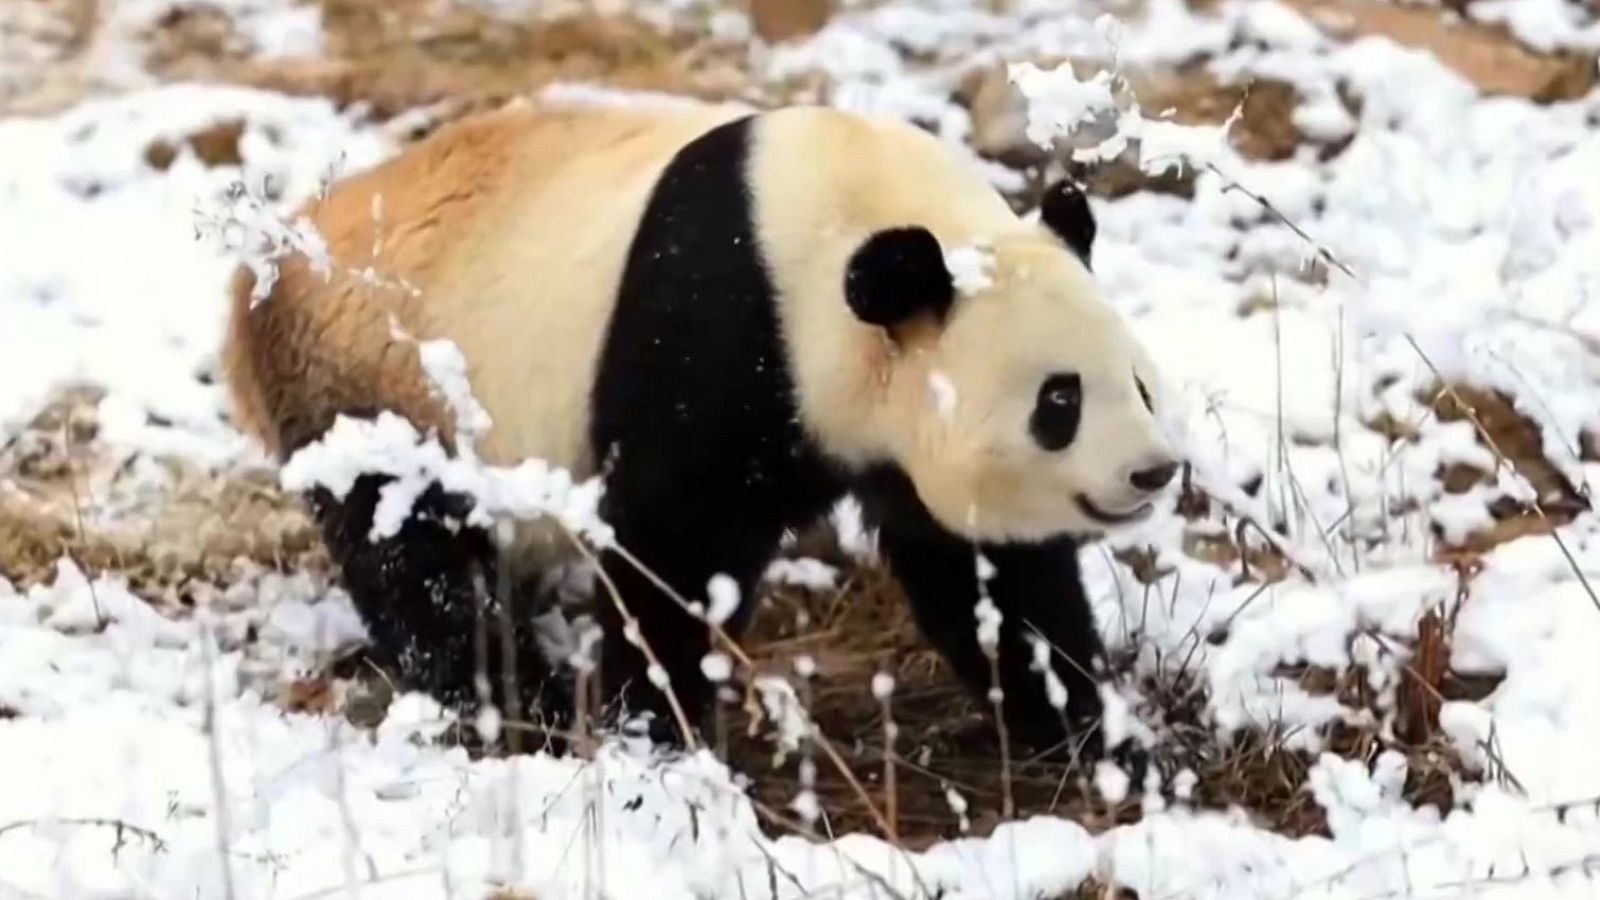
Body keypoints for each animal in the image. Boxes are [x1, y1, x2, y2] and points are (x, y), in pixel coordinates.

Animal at [222, 97, 1179, 761]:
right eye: (1060, 402)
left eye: (1139, 384)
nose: (1152, 473)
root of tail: (260, 277)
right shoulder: (718, 338)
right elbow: (674, 547)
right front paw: (654, 725)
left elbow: (994, 584)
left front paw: (1095, 734)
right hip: (380, 383)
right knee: (413, 553)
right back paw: (516, 697)